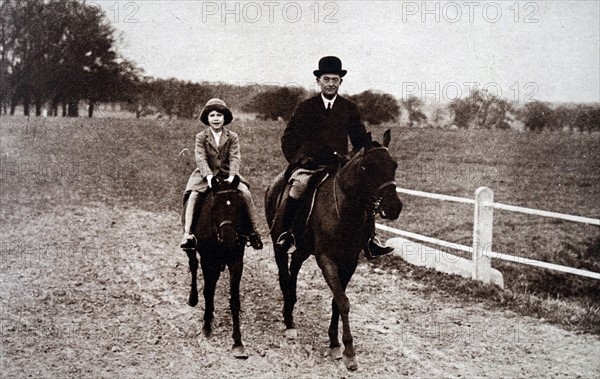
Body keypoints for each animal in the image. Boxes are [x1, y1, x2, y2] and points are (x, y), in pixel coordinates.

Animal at [180, 175, 251, 360]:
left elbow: (234, 300)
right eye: (214, 206)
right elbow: (208, 292)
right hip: (194, 250)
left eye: (238, 205)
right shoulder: (207, 259)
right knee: (193, 265)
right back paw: (194, 299)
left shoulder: (236, 261)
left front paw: (238, 343)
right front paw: (206, 327)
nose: (229, 239)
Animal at [264, 130, 400, 372]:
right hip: (279, 245)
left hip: (303, 249)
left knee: (293, 270)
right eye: (367, 167)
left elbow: (338, 300)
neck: (344, 212)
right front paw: (349, 352)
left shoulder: (349, 262)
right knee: (284, 276)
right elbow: (343, 301)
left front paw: (335, 343)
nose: (394, 207)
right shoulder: (326, 260)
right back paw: (288, 321)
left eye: (394, 165)